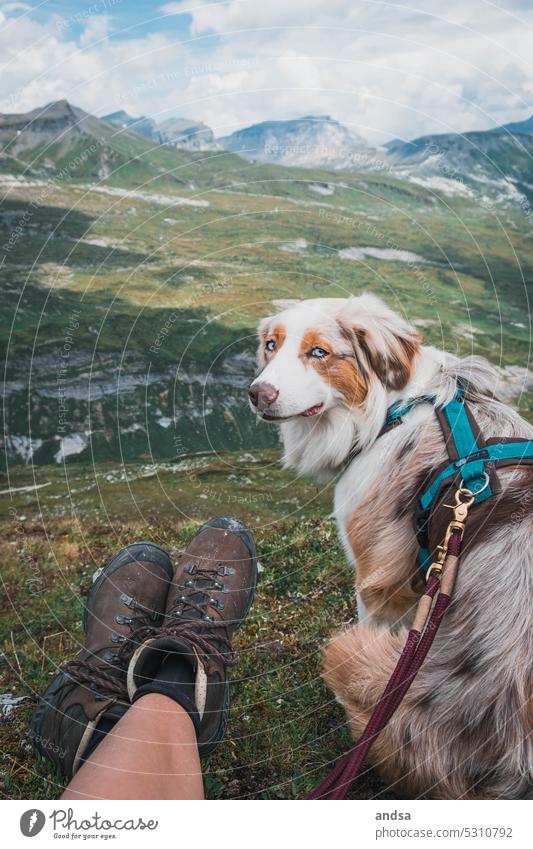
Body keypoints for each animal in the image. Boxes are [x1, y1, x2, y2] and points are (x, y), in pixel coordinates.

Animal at [249, 294, 532, 800]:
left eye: (319, 352)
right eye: (270, 345)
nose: (257, 393)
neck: (390, 410)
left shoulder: (377, 579)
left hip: (357, 660)